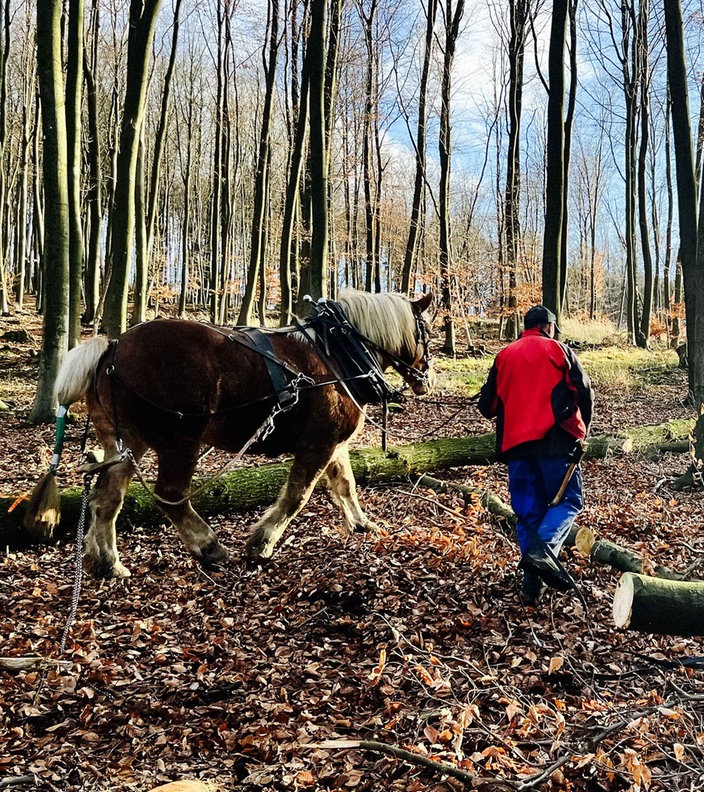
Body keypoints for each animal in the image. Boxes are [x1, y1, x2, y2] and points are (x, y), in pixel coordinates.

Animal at [52, 290, 432, 576]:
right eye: (425, 331)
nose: (427, 378)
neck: (337, 354)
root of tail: (112, 348)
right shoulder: (318, 442)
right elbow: (297, 495)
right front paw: (261, 543)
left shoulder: (335, 443)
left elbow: (345, 485)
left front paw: (361, 524)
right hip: (179, 441)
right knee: (170, 496)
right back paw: (209, 548)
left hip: (127, 442)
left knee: (106, 497)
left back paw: (106, 562)